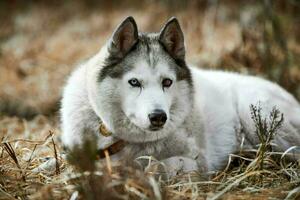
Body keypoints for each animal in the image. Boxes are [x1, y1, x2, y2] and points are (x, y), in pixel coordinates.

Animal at [61, 16, 300, 174]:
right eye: (134, 82)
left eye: (167, 82)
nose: (158, 117)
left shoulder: (196, 162)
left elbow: (153, 166)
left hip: (256, 115)